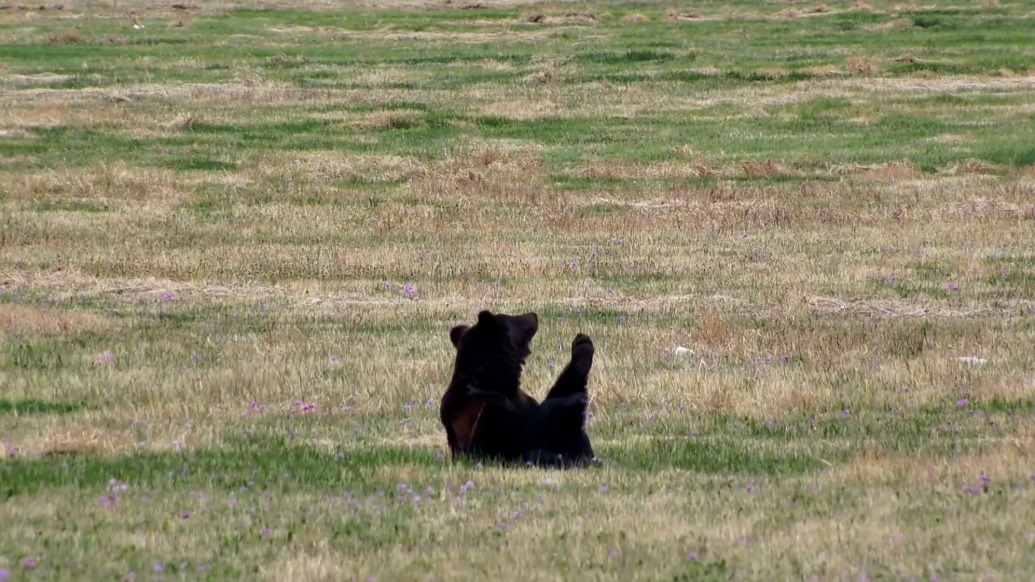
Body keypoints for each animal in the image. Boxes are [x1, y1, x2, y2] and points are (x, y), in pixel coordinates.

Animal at [438, 309, 597, 468]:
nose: (533, 314)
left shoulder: (521, 400)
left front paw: (582, 346)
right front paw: (570, 400)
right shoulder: (481, 410)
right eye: (511, 317)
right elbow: (520, 434)